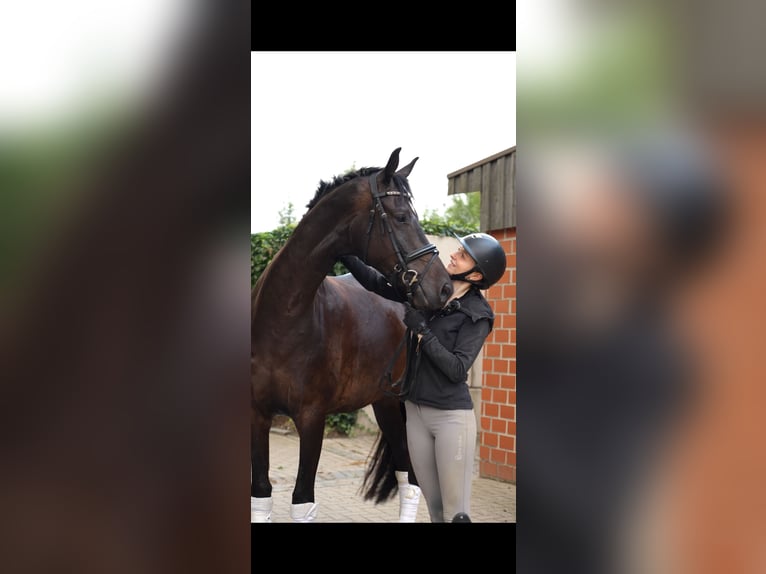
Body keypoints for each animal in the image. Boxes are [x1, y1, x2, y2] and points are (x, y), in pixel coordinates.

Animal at [251, 148, 453, 522]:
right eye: (402, 217)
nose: (444, 287)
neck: (283, 319)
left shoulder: (311, 419)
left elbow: (302, 500)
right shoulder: (257, 415)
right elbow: (261, 494)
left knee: (412, 478)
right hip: (384, 402)